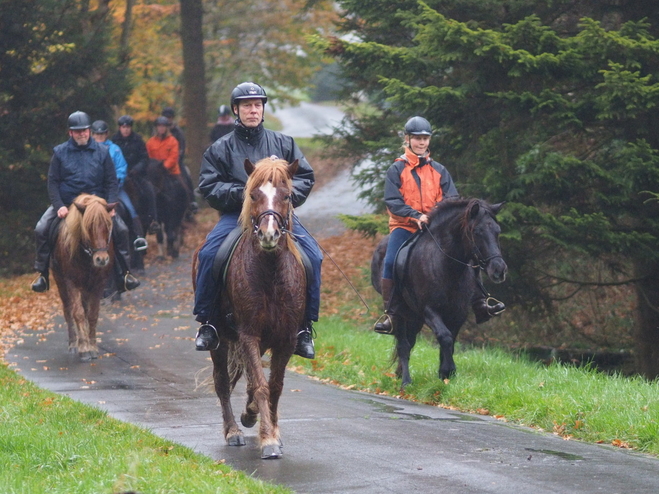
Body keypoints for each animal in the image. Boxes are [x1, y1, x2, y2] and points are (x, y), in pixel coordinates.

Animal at [52, 195, 116, 360]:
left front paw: (92, 347)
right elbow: (78, 313)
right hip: (60, 281)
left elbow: (92, 314)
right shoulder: (71, 282)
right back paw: (73, 344)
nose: (101, 259)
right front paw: (83, 349)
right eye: (88, 227)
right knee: (68, 309)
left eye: (108, 226)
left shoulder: (98, 284)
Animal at [192, 157, 308, 460]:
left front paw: (272, 431)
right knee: (222, 382)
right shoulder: (248, 335)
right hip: (220, 340)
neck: (270, 272)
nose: (269, 235)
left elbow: (273, 386)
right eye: (253, 195)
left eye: (287, 195)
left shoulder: (285, 339)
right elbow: (260, 385)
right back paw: (233, 431)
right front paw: (267, 441)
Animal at [372, 199, 510, 388]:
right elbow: (445, 337)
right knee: (403, 345)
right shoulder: (429, 311)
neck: (446, 266)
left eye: (497, 231)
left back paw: (400, 373)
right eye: (477, 232)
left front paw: (445, 375)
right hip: (400, 314)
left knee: (410, 342)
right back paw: (406, 381)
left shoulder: (458, 313)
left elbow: (450, 341)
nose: (499, 270)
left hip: (414, 317)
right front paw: (448, 370)